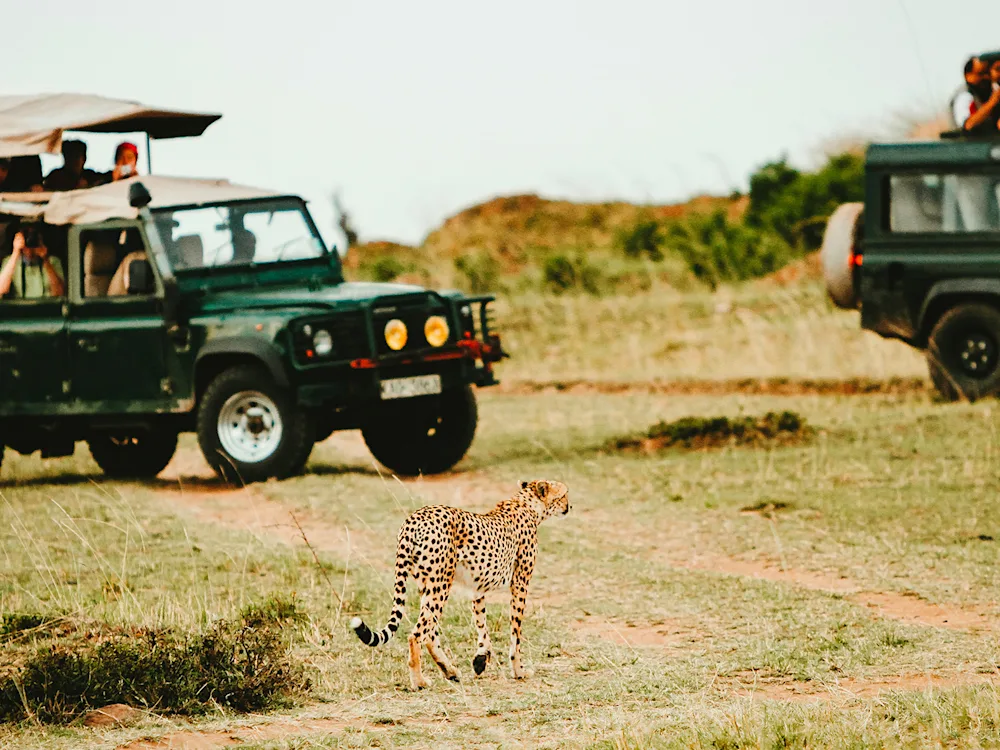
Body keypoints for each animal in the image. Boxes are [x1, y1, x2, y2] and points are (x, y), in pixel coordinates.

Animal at [350, 479, 570, 690]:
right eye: (564, 494)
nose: (570, 506)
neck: (527, 503)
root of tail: (414, 518)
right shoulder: (520, 582)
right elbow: (515, 632)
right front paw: (519, 671)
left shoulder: (478, 588)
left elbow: (481, 623)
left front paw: (481, 659)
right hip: (441, 583)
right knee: (417, 634)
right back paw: (419, 682)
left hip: (427, 584)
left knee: (430, 632)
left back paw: (449, 671)